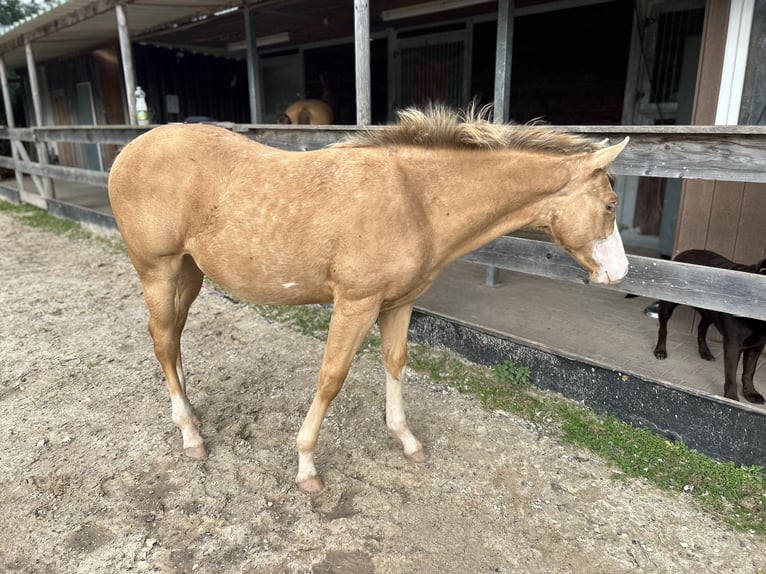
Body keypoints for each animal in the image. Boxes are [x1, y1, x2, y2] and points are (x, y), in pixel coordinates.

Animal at [109, 109, 636, 496]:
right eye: (610, 206)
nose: (621, 273)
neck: (416, 199)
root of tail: (130, 150)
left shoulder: (399, 303)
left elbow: (395, 362)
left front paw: (406, 439)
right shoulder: (355, 304)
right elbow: (331, 378)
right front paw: (306, 466)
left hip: (189, 272)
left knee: (174, 339)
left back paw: (191, 413)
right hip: (157, 270)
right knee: (162, 340)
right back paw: (191, 435)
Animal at [656, 251, 766, 404]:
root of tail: (684, 252)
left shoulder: (757, 345)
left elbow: (749, 372)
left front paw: (750, 393)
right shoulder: (733, 345)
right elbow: (731, 374)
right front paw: (731, 398)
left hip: (709, 313)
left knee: (701, 329)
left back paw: (705, 352)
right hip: (668, 304)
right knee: (663, 329)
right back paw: (660, 350)